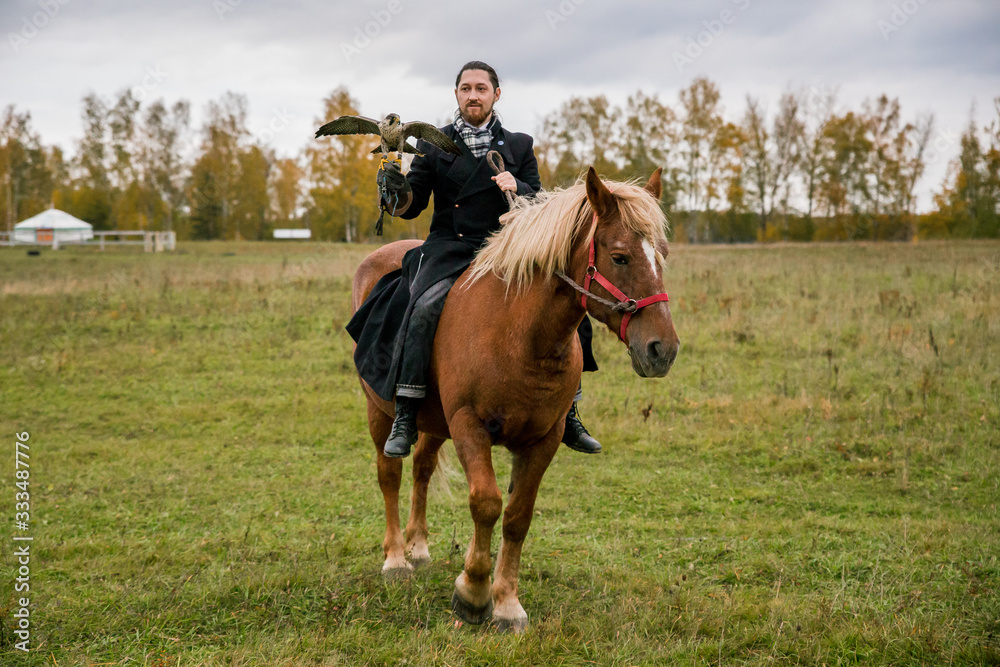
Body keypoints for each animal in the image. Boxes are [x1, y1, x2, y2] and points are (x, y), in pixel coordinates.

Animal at [350, 166, 680, 632]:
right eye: (619, 256)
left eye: (662, 254)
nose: (662, 349)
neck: (519, 332)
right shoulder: (469, 425)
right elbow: (486, 503)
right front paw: (472, 593)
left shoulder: (543, 438)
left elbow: (518, 516)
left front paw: (506, 603)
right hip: (380, 411)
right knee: (390, 473)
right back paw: (396, 558)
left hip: (434, 421)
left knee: (422, 469)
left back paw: (417, 547)